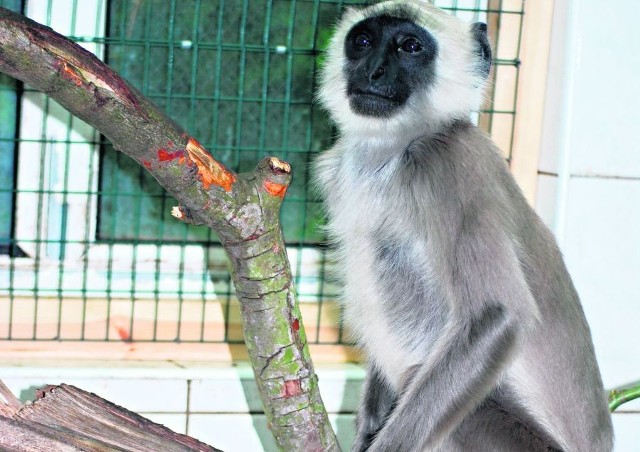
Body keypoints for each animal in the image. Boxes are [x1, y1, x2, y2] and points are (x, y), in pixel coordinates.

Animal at [312, 0, 612, 452]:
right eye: (362, 42)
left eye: (410, 47)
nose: (374, 72)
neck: (393, 152)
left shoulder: (450, 161)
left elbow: (496, 314)